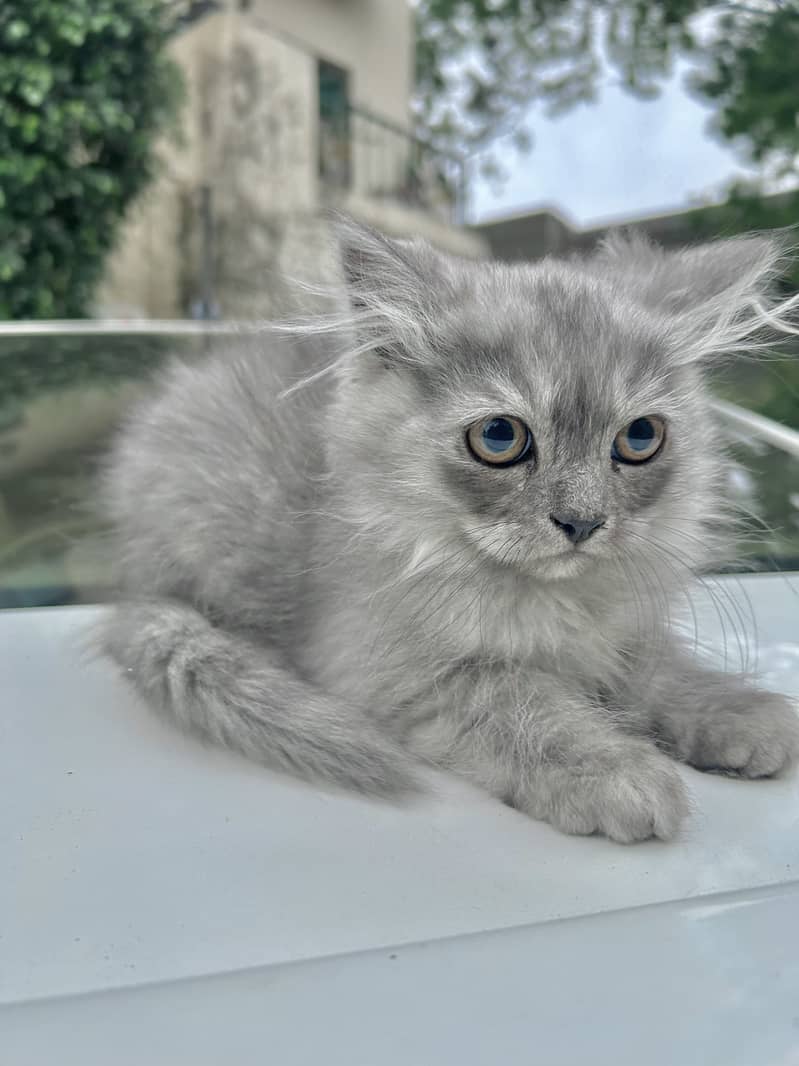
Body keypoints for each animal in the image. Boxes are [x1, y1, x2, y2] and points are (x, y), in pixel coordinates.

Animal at [100, 222, 799, 840]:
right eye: (499, 436)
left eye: (640, 437)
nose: (582, 521)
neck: (550, 601)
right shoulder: (391, 665)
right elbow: (526, 702)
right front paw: (612, 768)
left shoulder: (619, 633)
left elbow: (655, 669)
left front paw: (733, 710)